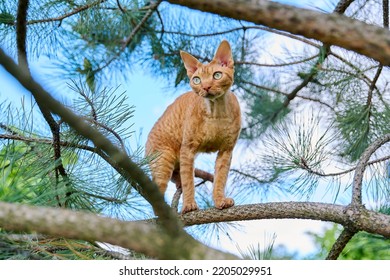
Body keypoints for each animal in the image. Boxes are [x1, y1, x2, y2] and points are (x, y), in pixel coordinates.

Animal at [145, 40, 241, 213]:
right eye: (196, 80)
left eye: (217, 75)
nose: (206, 87)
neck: (216, 112)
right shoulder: (188, 149)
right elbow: (189, 180)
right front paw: (189, 205)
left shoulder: (226, 150)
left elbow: (220, 178)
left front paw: (220, 200)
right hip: (163, 160)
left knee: (178, 178)